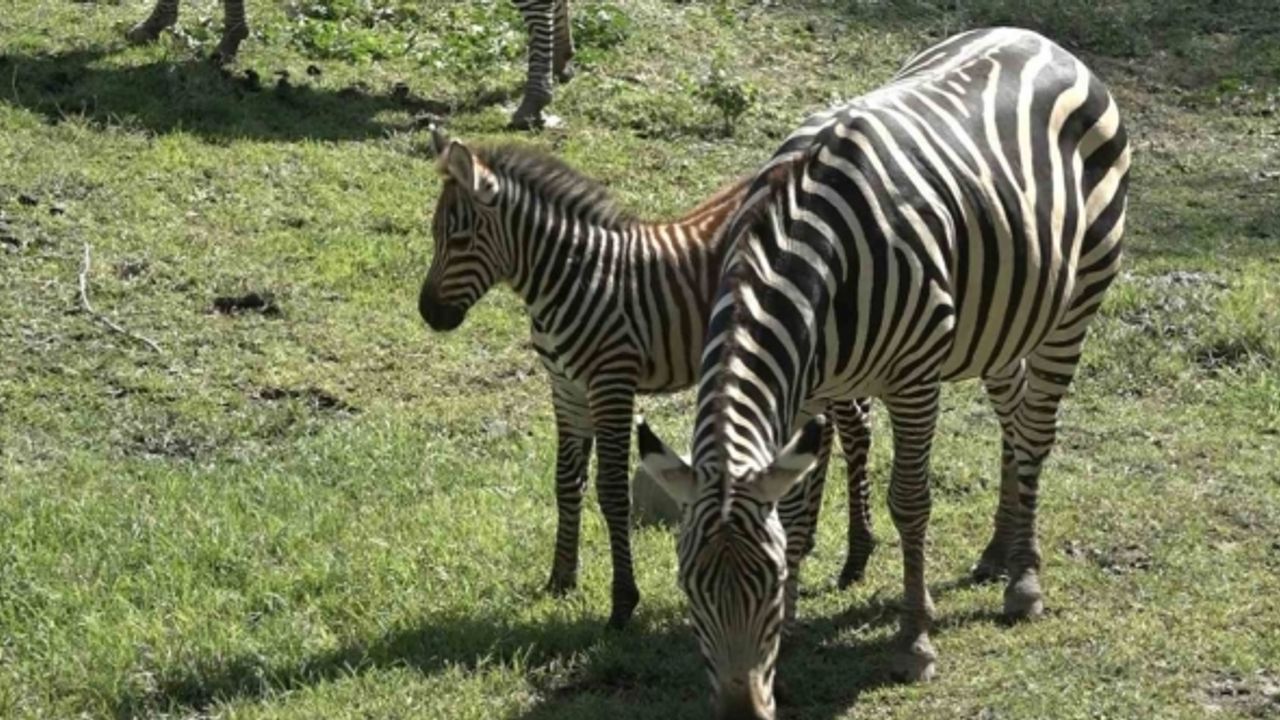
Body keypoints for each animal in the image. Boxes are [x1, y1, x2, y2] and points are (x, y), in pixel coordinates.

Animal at [416, 127, 875, 629]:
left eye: (459, 237)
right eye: (435, 234)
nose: (428, 313)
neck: (572, 276)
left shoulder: (612, 383)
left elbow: (612, 491)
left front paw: (622, 603)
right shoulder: (566, 388)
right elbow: (565, 481)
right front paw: (561, 579)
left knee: (855, 430)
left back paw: (855, 559)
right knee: (830, 429)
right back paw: (808, 538)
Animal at [638, 27, 1130, 719]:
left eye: (767, 584)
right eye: (689, 587)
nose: (742, 713)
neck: (810, 258)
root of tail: (1041, 39)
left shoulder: (913, 379)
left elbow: (910, 502)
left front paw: (914, 641)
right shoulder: (806, 391)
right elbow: (796, 515)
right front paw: (792, 643)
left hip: (1077, 302)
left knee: (1034, 434)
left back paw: (1025, 581)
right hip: (1004, 319)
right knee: (1012, 419)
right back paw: (997, 552)